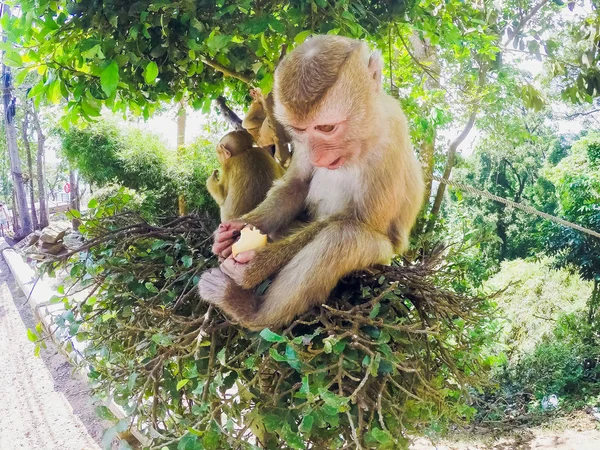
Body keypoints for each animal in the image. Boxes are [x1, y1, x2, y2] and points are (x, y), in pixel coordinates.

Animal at [199, 35, 424, 328]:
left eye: (326, 128)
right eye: (300, 130)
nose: (317, 155)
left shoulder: (391, 136)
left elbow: (359, 221)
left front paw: (259, 264)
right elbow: (297, 184)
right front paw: (236, 229)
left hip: (380, 258)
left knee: (343, 237)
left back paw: (250, 310)